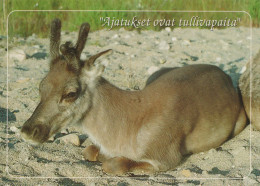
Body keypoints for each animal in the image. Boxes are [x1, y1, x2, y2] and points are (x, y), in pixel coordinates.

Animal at [19, 18, 246, 174]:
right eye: (41, 86)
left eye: (70, 93)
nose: (28, 130)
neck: (124, 130)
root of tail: (225, 74)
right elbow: (88, 151)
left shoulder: (165, 157)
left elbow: (113, 164)